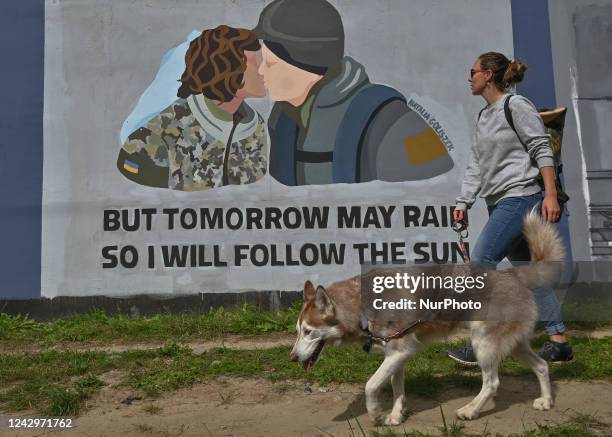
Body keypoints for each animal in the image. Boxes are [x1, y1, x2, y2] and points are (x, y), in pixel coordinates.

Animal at [290, 212, 564, 426]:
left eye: (308, 331)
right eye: (297, 330)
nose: (292, 357)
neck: (362, 308)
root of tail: (513, 274)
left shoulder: (401, 350)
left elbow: (371, 385)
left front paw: (376, 413)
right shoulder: (396, 356)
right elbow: (397, 388)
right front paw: (396, 415)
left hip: (483, 344)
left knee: (492, 383)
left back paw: (470, 410)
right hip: (513, 344)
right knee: (542, 365)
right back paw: (547, 401)